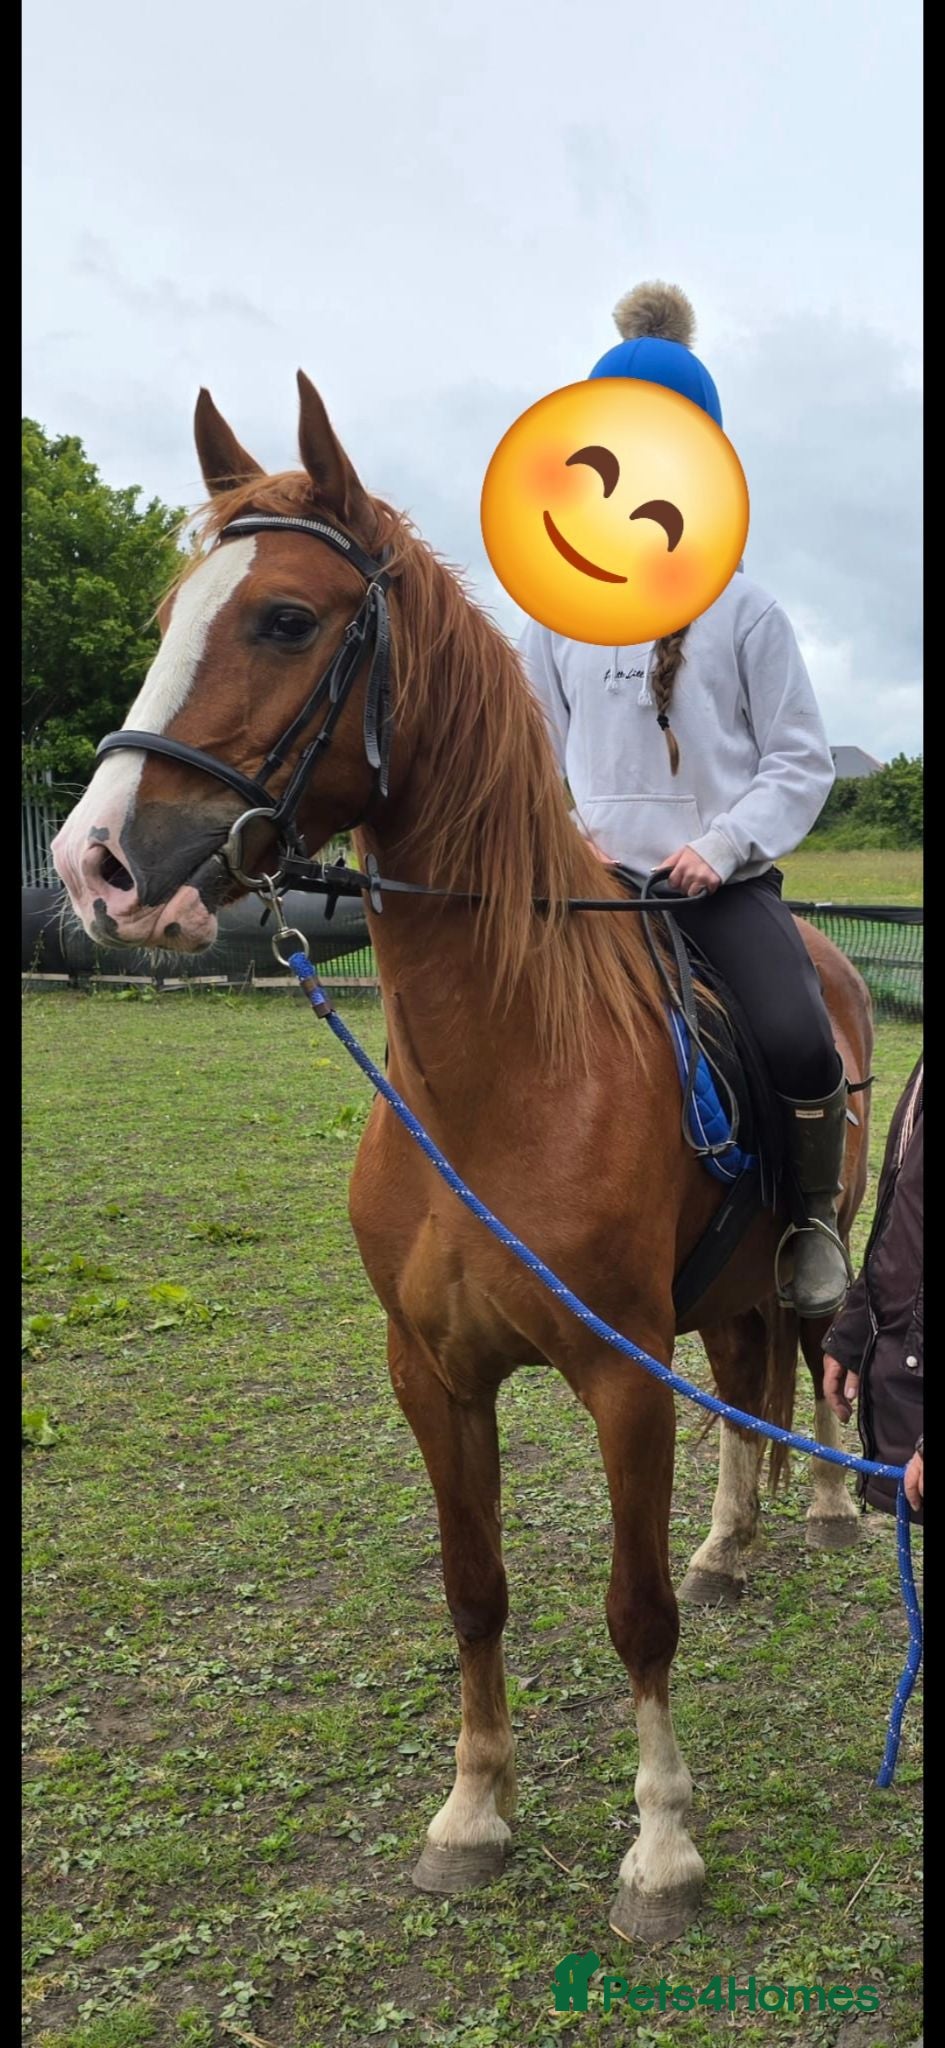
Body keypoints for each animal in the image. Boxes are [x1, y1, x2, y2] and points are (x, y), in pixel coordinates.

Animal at [52, 373, 873, 1942]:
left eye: (285, 619)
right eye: (177, 609)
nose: (96, 867)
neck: (504, 1071)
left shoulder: (622, 1373)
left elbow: (630, 1611)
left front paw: (660, 1847)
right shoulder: (429, 1372)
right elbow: (474, 1588)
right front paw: (474, 1813)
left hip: (804, 1244)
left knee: (809, 1352)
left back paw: (821, 1507)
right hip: (715, 1291)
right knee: (747, 1377)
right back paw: (733, 1540)